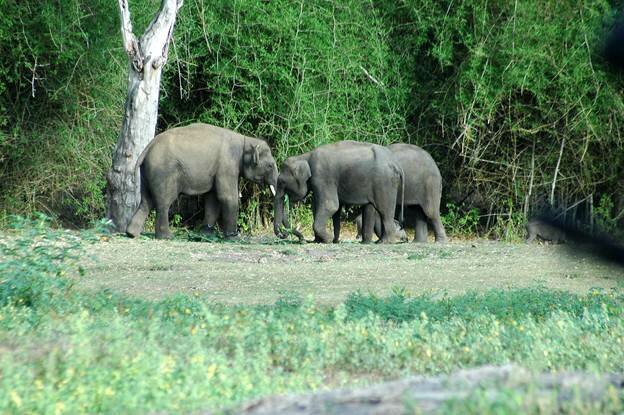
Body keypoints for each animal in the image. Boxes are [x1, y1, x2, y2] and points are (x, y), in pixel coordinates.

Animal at [125, 122, 276, 240]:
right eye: (270, 165)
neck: (246, 140)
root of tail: (147, 148)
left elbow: (213, 199)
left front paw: (206, 235)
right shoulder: (227, 166)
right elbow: (227, 197)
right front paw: (233, 237)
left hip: (146, 173)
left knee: (146, 201)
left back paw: (132, 234)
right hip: (163, 172)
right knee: (164, 202)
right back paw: (166, 236)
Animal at [272, 141, 404, 244]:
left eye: (281, 182)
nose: (302, 239)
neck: (305, 156)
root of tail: (396, 163)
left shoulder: (322, 177)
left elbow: (330, 205)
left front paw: (328, 239)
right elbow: (322, 206)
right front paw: (326, 240)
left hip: (385, 183)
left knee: (385, 211)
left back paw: (384, 242)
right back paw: (376, 241)